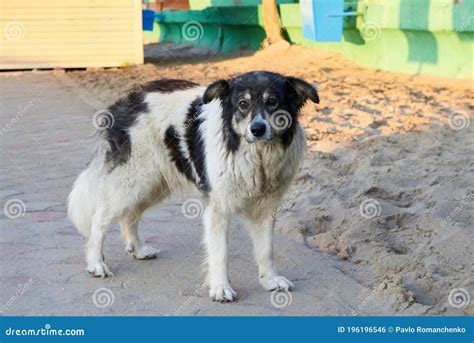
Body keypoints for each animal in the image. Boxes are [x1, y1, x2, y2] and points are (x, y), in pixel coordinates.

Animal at [67, 71, 318, 302]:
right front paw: (220, 288)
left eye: (272, 101)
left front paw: (270, 280)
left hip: (153, 184)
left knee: (130, 215)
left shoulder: (266, 208)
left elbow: (266, 250)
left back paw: (137, 249)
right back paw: (96, 263)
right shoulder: (218, 210)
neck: (256, 156)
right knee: (100, 219)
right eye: (243, 104)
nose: (257, 129)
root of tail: (126, 101)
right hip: (133, 180)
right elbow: (220, 253)